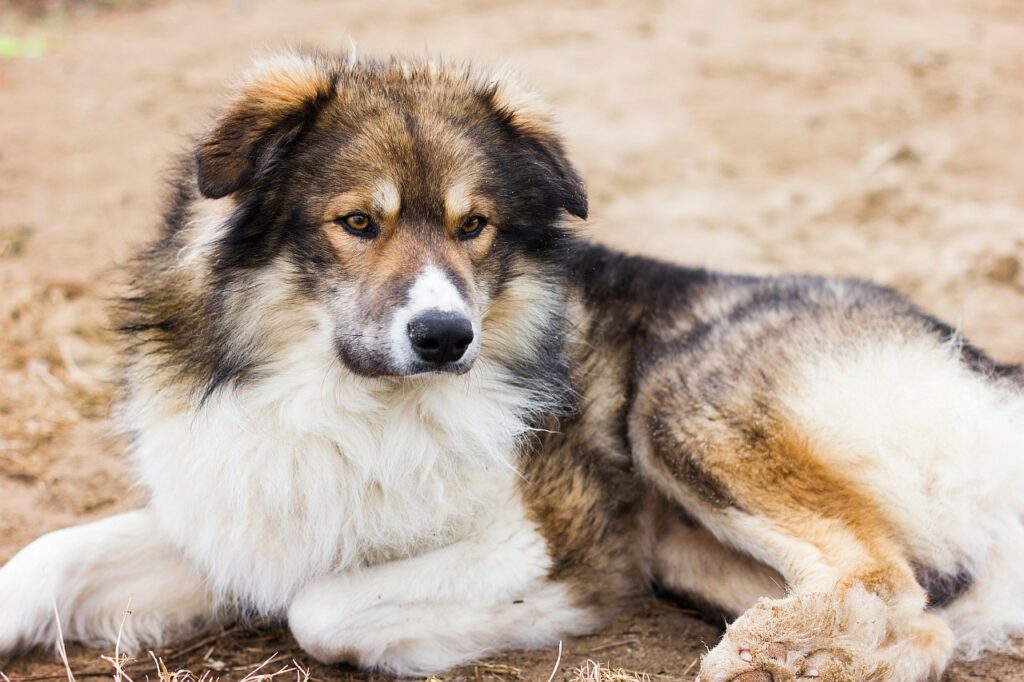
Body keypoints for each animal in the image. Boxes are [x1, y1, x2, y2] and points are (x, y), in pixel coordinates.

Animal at [2, 50, 1024, 675]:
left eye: (473, 226)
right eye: (357, 223)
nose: (445, 337)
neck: (339, 400)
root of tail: (992, 375)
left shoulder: (543, 531)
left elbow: (320, 610)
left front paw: (523, 619)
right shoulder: (240, 514)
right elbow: (46, 559)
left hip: (677, 400)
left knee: (882, 577)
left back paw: (762, 653)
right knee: (922, 624)